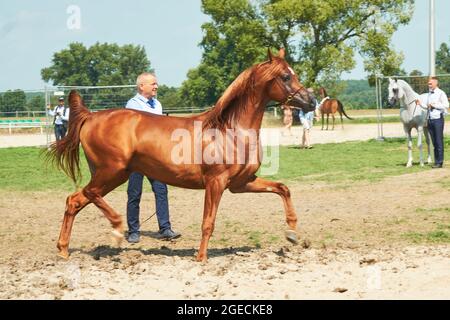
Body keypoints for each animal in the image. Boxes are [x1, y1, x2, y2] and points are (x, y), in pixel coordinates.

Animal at [48, 48, 316, 262]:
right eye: (285, 76)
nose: (312, 101)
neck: (229, 130)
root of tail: (91, 117)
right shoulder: (215, 183)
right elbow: (208, 222)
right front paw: (201, 258)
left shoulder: (240, 183)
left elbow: (282, 188)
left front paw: (293, 233)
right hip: (113, 172)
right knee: (87, 195)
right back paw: (116, 229)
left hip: (109, 175)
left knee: (75, 201)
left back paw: (63, 250)